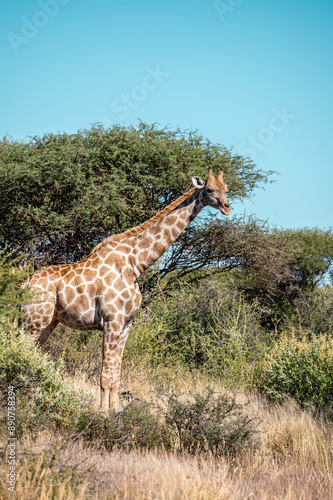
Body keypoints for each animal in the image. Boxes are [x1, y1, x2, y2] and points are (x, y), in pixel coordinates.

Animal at [22, 168, 230, 410]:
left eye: (226, 189)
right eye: (209, 189)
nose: (227, 207)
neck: (136, 264)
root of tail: (24, 284)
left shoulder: (126, 324)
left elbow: (116, 375)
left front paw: (115, 411)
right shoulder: (112, 320)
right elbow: (104, 375)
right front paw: (102, 413)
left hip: (47, 323)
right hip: (34, 322)